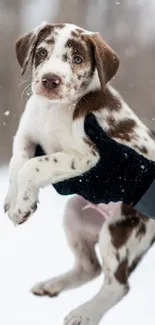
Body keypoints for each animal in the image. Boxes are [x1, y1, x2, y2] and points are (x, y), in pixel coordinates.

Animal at [4, 22, 155, 324]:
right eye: (42, 52)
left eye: (77, 59)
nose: (50, 80)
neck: (51, 110)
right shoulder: (27, 134)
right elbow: (18, 162)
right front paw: (14, 201)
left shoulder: (88, 156)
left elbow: (33, 166)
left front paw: (22, 206)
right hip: (74, 216)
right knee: (90, 267)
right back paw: (52, 286)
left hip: (121, 233)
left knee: (118, 284)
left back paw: (84, 314)